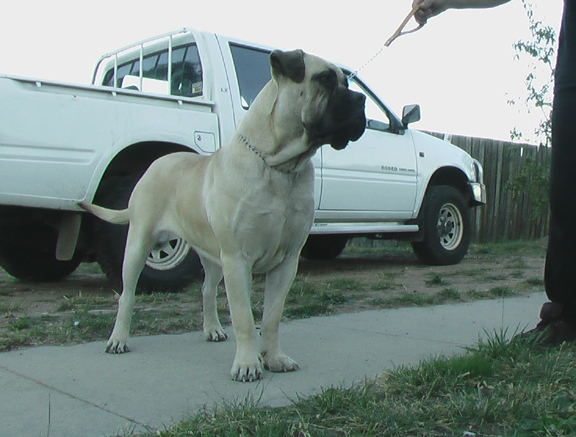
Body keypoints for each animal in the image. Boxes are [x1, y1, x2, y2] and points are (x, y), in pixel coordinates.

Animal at [82, 49, 364, 380]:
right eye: (325, 79)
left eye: (347, 82)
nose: (361, 100)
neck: (279, 166)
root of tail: (157, 163)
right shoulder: (238, 258)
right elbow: (244, 317)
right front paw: (247, 364)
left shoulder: (286, 262)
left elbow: (271, 317)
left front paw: (274, 358)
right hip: (139, 245)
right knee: (127, 294)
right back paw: (118, 338)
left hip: (213, 257)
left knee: (206, 289)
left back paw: (212, 329)